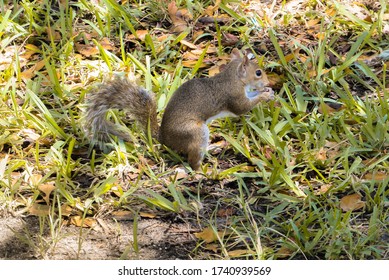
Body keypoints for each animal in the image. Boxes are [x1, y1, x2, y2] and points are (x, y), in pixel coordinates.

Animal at [83, 48, 274, 171]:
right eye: (258, 73)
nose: (268, 83)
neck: (233, 76)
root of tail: (164, 139)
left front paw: (266, 92)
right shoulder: (233, 96)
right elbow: (242, 108)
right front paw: (265, 95)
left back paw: (212, 148)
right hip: (195, 132)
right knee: (193, 161)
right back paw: (203, 172)